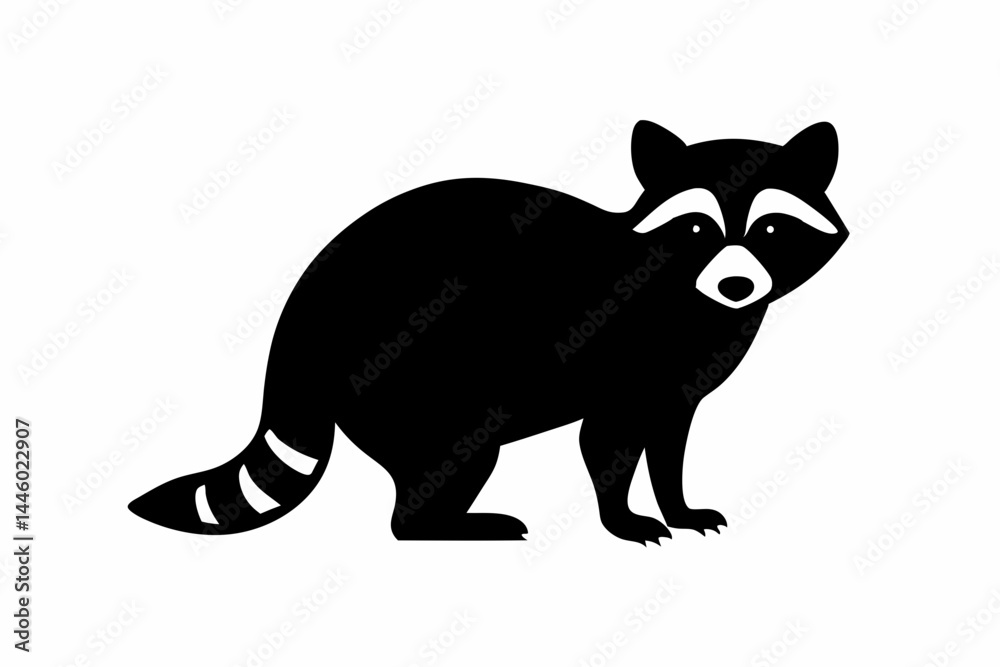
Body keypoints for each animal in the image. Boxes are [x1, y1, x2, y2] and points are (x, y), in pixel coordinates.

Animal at [130, 120, 849, 544]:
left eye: (771, 228)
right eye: (698, 228)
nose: (736, 286)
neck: (689, 302)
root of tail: (302, 312)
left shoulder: (677, 378)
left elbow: (669, 443)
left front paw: (677, 504)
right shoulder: (619, 354)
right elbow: (607, 444)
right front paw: (621, 516)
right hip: (414, 382)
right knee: (444, 463)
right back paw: (441, 525)